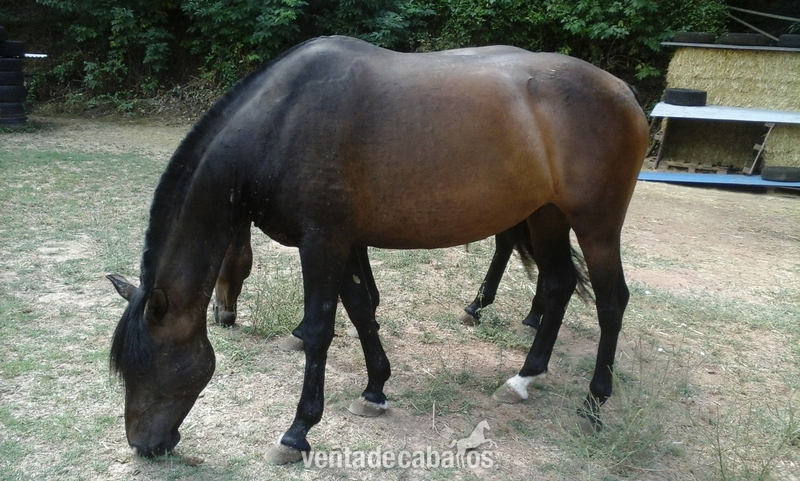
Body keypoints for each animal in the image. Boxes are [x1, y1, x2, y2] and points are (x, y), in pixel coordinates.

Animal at [107, 35, 648, 462]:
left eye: (148, 366)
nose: (143, 446)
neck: (282, 121)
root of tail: (623, 92)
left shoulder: (323, 242)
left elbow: (321, 330)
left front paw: (297, 433)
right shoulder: (344, 242)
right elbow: (362, 309)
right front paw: (375, 389)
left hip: (595, 224)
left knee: (611, 301)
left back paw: (594, 404)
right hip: (546, 215)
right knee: (557, 285)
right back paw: (524, 378)